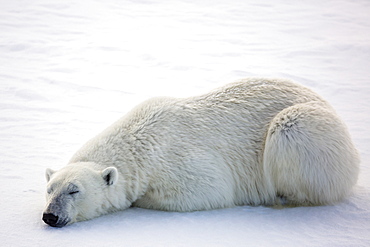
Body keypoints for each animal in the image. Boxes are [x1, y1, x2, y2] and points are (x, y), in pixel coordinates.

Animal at [42, 78, 358, 228]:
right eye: (49, 189)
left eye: (74, 190)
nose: (50, 216)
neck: (138, 140)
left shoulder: (183, 162)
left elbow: (205, 192)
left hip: (305, 130)